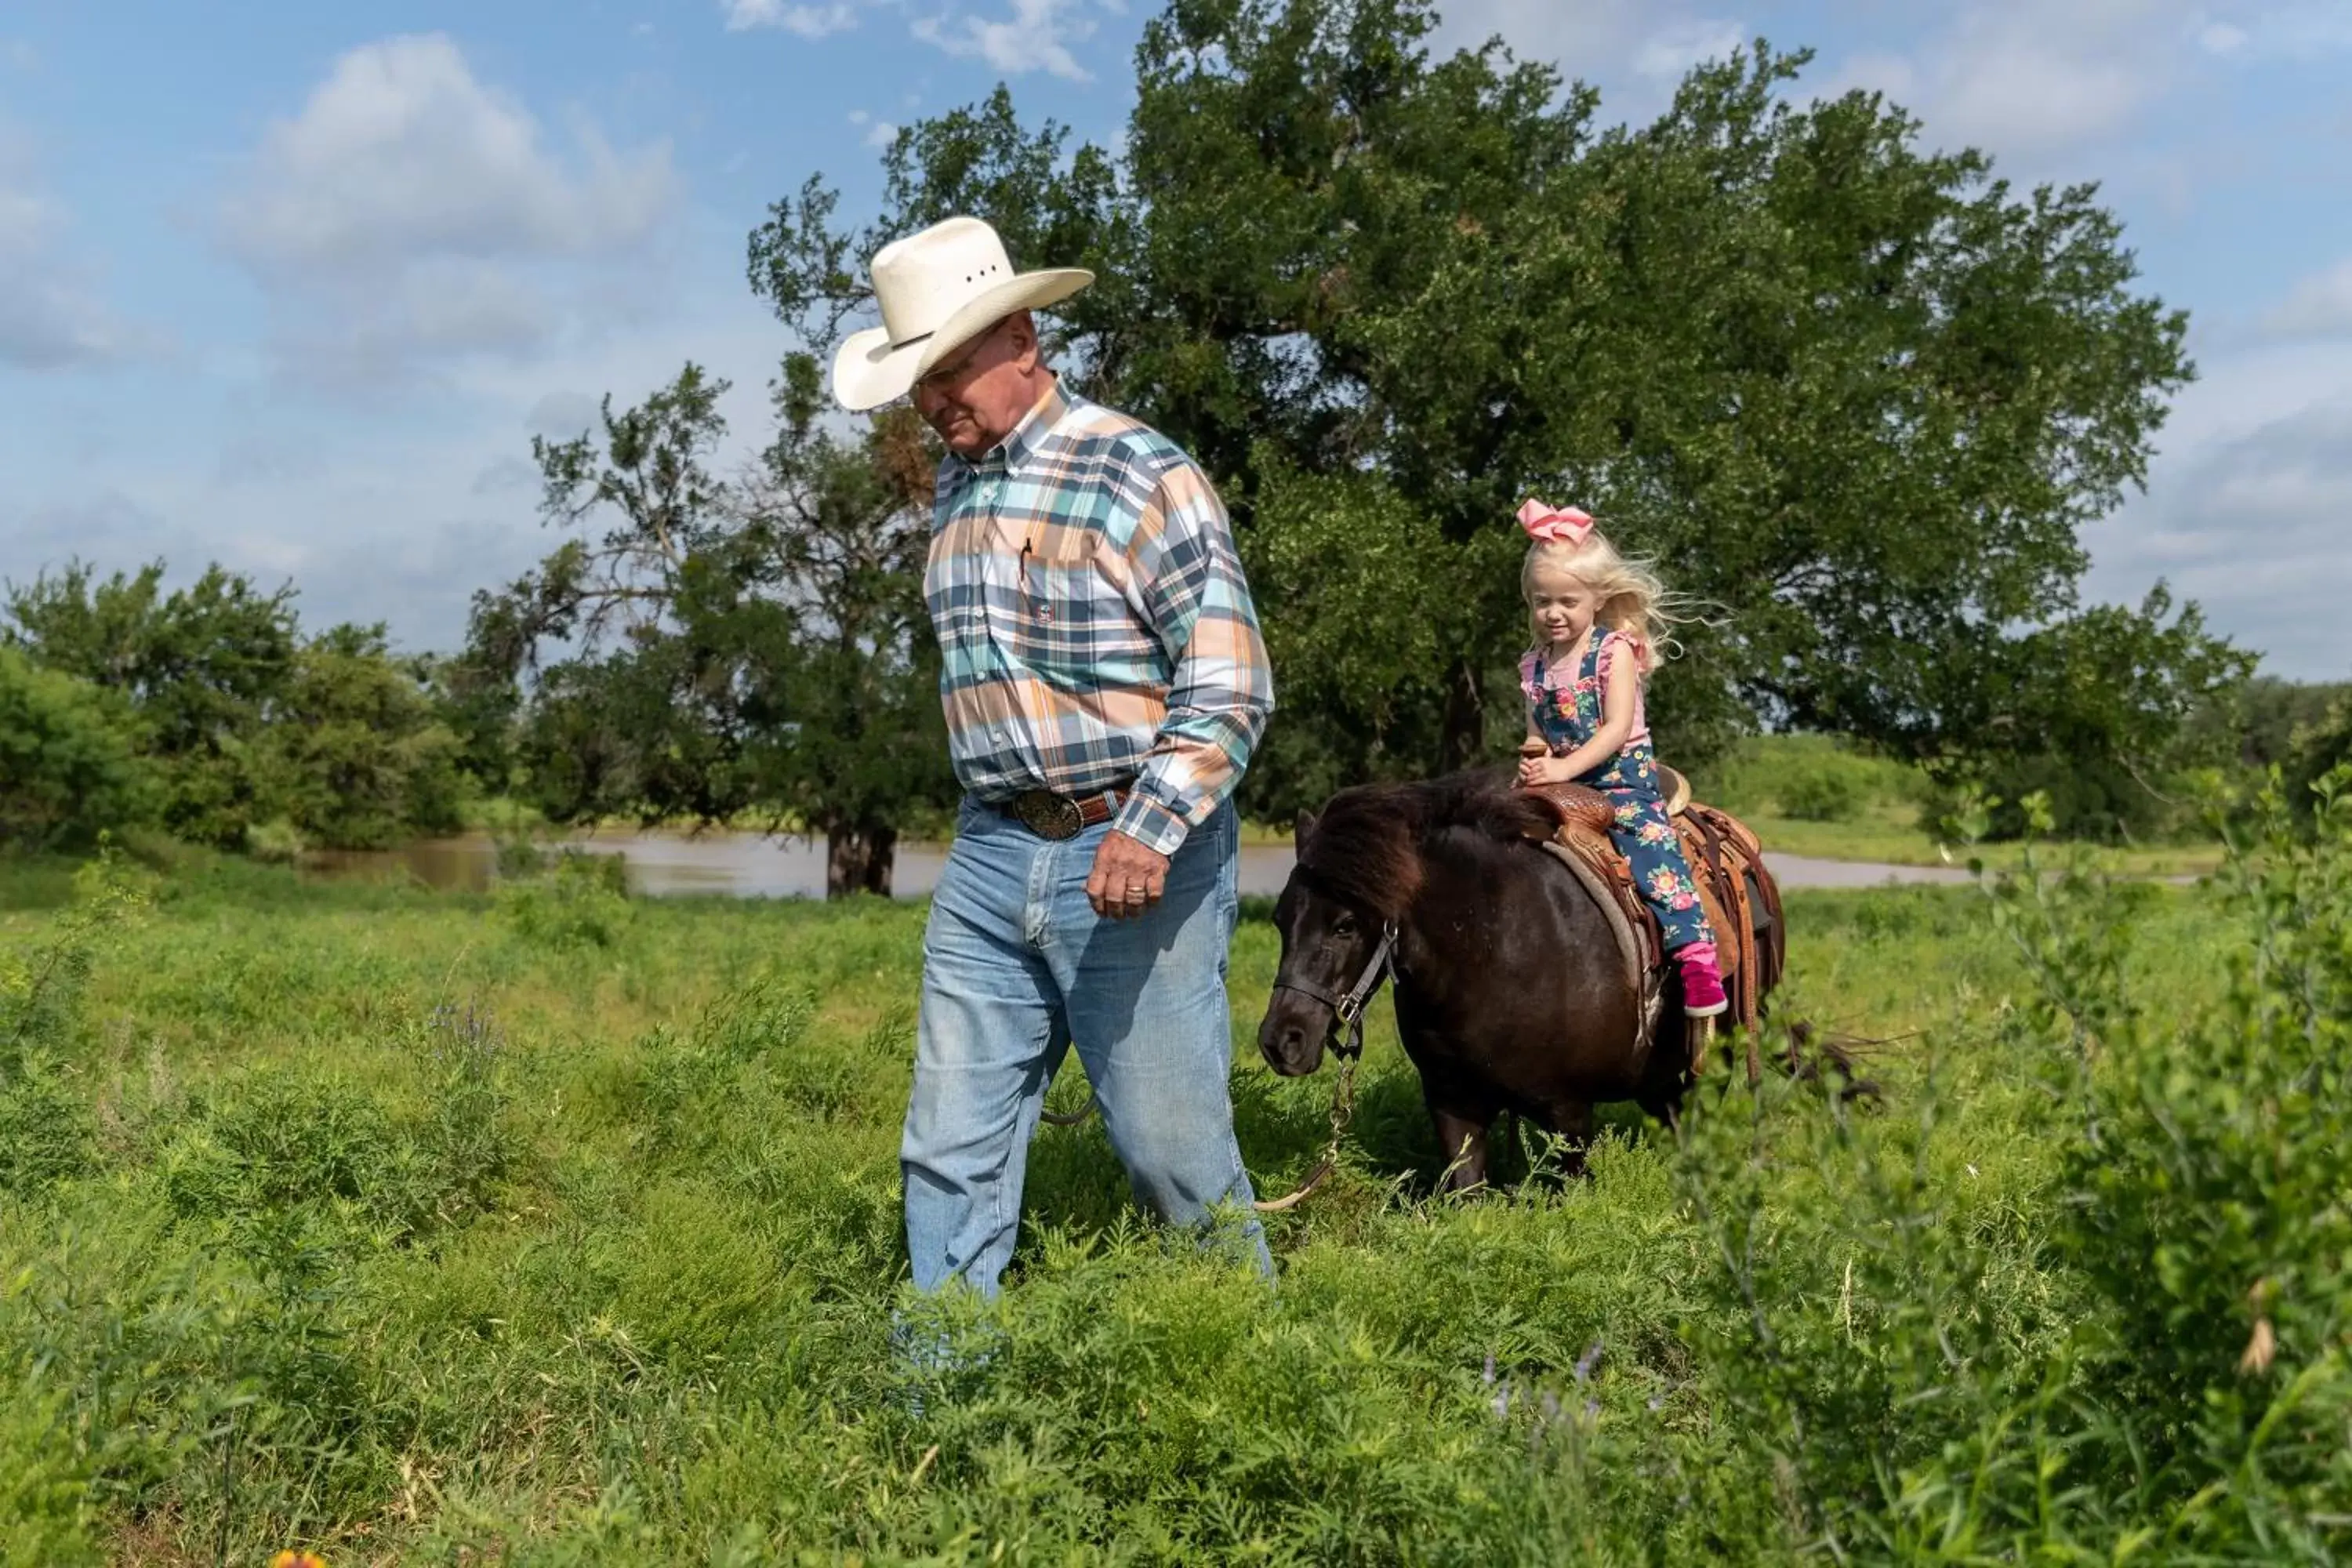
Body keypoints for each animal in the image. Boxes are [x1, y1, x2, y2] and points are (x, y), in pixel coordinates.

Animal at [1261, 771, 1740, 1189]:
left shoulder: (1569, 1114)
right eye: (1280, 920)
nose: (1281, 1041)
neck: (1493, 951)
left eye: (1345, 925)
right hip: (1659, 1081)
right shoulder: (1453, 1105)